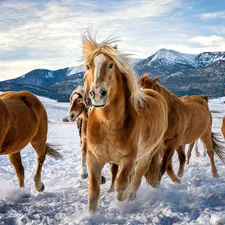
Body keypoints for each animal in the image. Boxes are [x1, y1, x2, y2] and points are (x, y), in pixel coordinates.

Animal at [81, 33, 168, 211]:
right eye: (87, 66)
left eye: (110, 65)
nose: (97, 94)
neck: (108, 124)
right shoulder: (94, 159)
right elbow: (93, 192)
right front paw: (92, 214)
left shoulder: (128, 160)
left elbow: (121, 186)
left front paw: (123, 202)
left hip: (146, 156)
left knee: (137, 179)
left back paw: (132, 197)